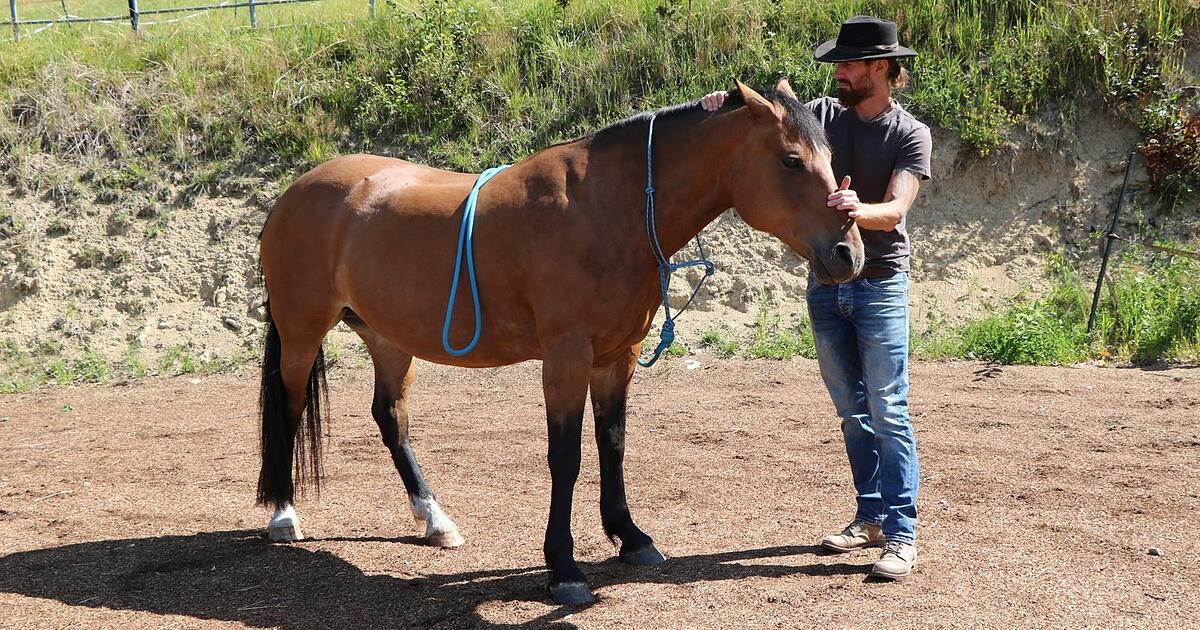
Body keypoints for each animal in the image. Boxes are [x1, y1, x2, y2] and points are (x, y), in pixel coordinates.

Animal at [256, 79, 864, 605]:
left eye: (831, 155)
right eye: (791, 159)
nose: (849, 254)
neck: (606, 209)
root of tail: (297, 191)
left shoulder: (616, 358)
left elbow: (613, 443)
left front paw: (631, 537)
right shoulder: (566, 358)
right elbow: (566, 456)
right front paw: (564, 568)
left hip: (389, 340)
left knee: (389, 418)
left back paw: (434, 520)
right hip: (302, 332)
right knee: (287, 409)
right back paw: (284, 516)